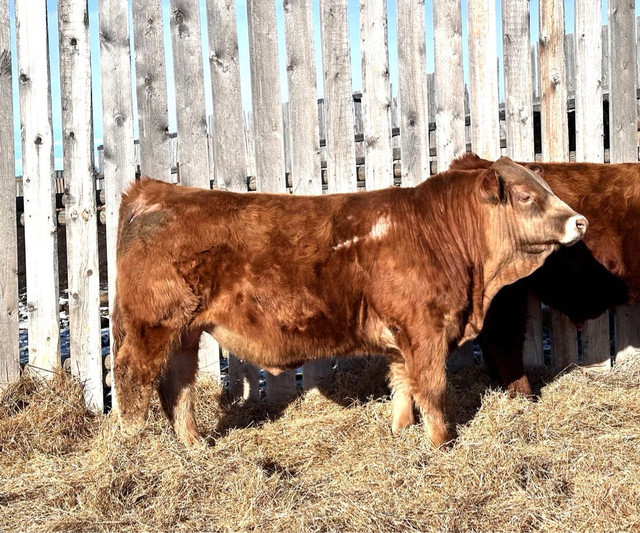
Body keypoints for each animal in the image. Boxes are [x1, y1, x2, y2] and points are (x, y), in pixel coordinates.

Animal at [114, 156, 584, 446]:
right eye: (526, 196)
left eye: (544, 186)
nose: (580, 221)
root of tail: (155, 192)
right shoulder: (425, 329)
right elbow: (432, 388)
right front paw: (441, 443)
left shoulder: (401, 335)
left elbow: (402, 383)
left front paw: (401, 431)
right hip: (152, 326)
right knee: (132, 379)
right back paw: (131, 445)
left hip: (183, 332)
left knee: (178, 384)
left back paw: (195, 444)